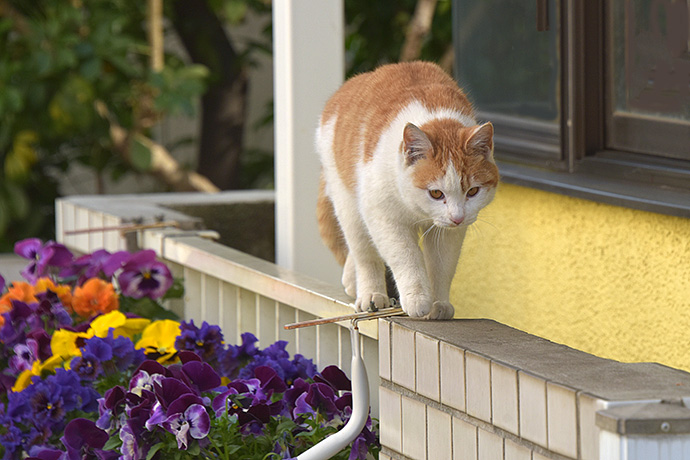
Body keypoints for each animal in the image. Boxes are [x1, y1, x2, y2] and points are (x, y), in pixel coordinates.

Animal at [314, 61, 498, 320]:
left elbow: (443, 265)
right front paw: (417, 299)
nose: (457, 217)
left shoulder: (449, 232)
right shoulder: (383, 217)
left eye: (472, 191)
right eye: (436, 193)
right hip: (347, 203)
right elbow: (406, 257)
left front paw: (439, 304)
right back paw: (370, 294)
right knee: (363, 252)